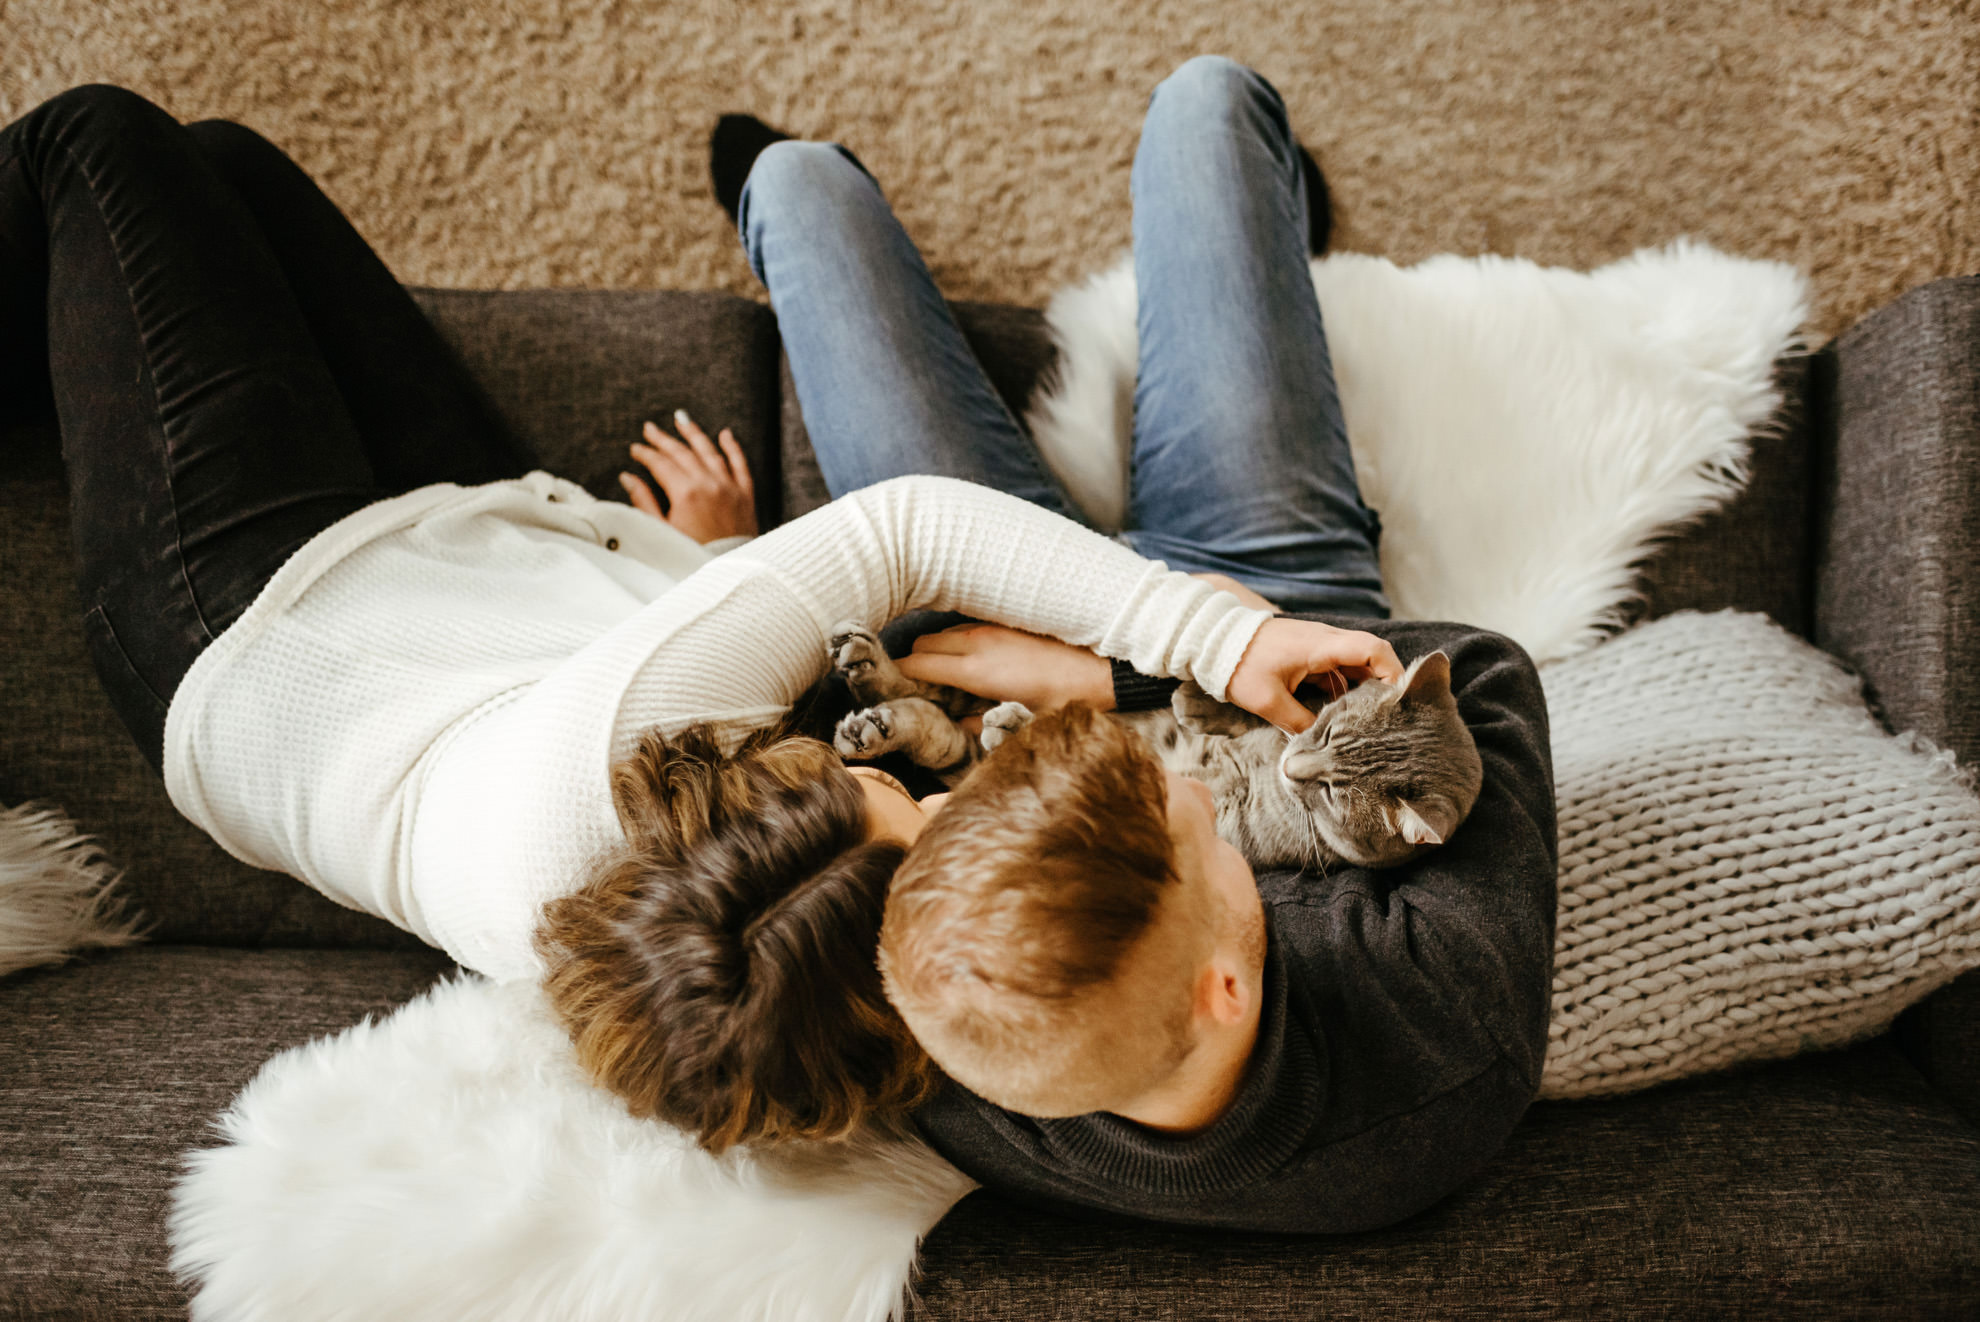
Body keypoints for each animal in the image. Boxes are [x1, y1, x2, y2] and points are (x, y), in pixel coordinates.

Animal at [823, 625, 1488, 870]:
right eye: (1324, 730)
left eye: (1331, 793)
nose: (1293, 766)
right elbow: (1252, 710)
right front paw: (1202, 701)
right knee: (930, 699)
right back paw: (869, 673)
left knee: (947, 739)